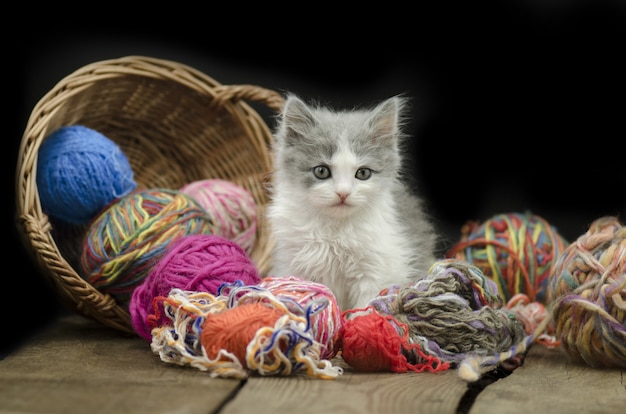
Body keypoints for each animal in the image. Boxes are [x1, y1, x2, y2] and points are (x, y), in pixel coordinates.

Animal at [266, 94, 436, 310]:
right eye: (321, 171)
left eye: (363, 173)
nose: (343, 193)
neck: (335, 232)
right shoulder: (293, 262)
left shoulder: (377, 269)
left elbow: (367, 304)